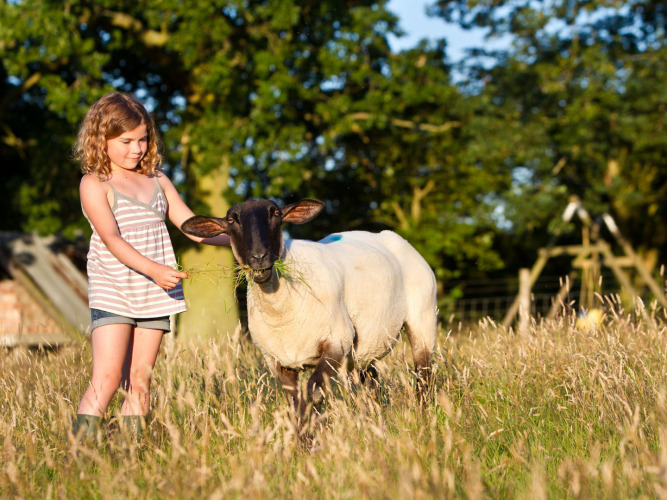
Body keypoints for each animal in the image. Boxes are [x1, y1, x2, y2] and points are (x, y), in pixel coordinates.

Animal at [181, 198, 438, 414]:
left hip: (423, 319)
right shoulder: (276, 361)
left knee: (424, 374)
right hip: (365, 347)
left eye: (276, 213)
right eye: (231, 220)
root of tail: (390, 237)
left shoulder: (337, 341)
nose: (259, 258)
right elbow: (295, 403)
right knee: (371, 382)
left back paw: (423, 416)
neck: (281, 313)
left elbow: (314, 391)